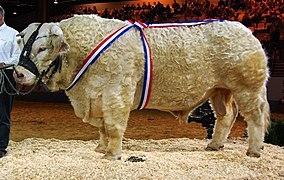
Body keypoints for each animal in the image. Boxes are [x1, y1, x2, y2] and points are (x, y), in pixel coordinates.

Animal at [13, 14, 270, 160]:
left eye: (41, 49)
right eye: (21, 46)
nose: (18, 73)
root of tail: (246, 32)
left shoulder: (116, 93)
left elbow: (114, 127)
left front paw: (112, 155)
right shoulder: (97, 96)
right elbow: (103, 128)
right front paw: (101, 149)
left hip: (247, 89)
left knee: (255, 118)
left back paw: (254, 150)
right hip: (219, 90)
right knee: (226, 117)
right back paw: (215, 145)